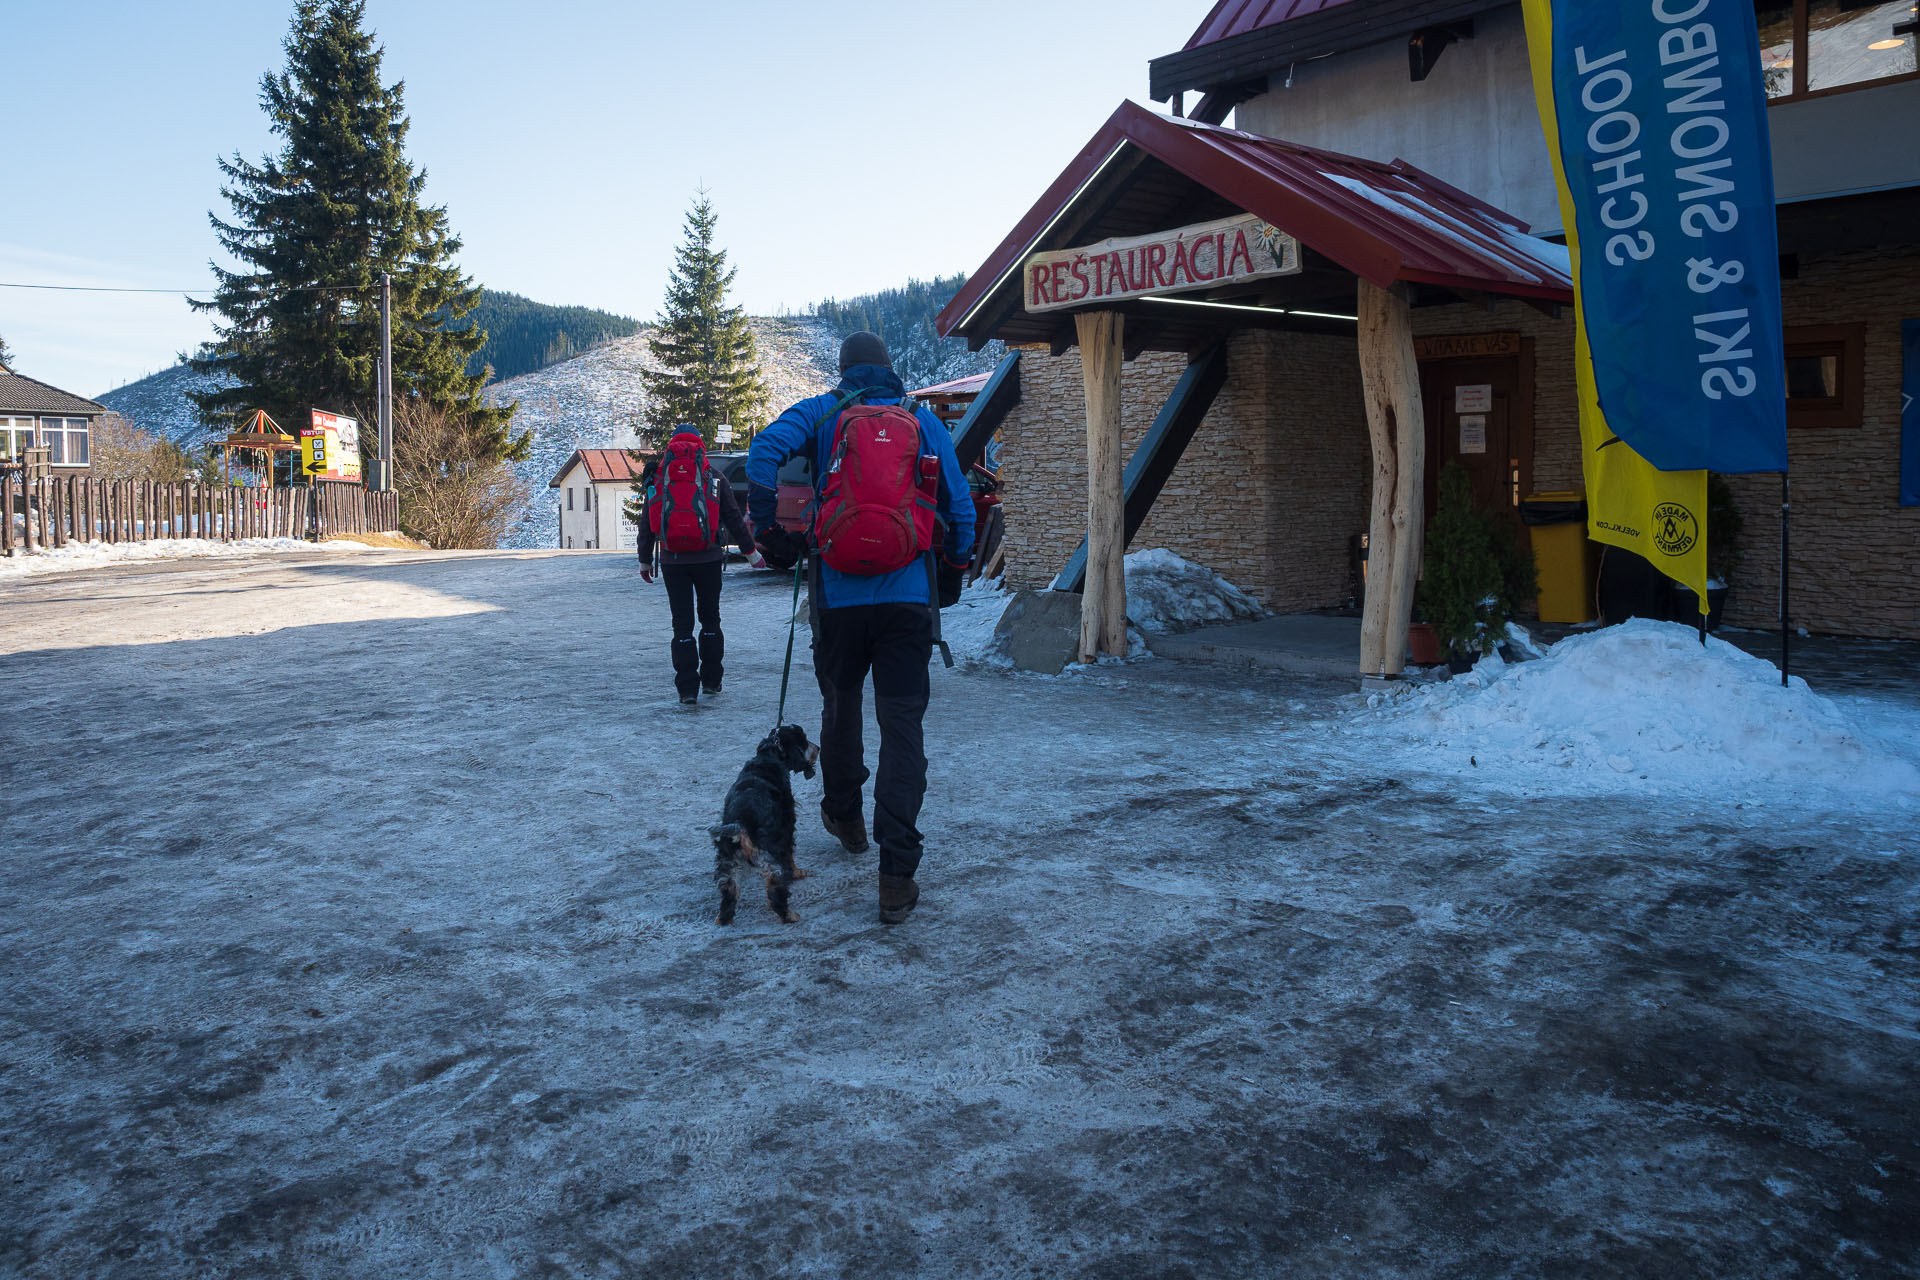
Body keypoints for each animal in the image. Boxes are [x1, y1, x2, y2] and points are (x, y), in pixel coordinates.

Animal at [714, 725, 817, 924]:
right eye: (804, 740)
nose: (818, 748)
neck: (768, 756)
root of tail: (741, 823)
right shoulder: (787, 826)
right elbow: (791, 853)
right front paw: (798, 872)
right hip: (774, 857)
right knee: (776, 890)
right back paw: (790, 915)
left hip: (727, 859)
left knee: (729, 889)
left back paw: (723, 919)